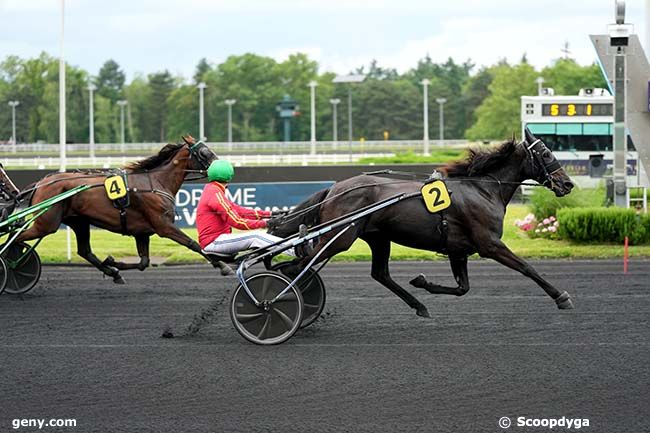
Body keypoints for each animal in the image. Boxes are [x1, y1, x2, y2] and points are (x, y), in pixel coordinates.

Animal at [13, 136, 232, 284]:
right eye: (204, 153)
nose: (226, 169)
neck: (155, 182)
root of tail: (40, 183)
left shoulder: (142, 231)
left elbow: (144, 262)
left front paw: (113, 263)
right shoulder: (163, 226)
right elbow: (193, 244)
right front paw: (222, 265)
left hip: (79, 221)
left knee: (84, 251)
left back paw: (113, 272)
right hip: (47, 223)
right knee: (16, 238)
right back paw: (13, 265)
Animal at [270, 129, 576, 318]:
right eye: (546, 154)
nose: (568, 184)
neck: (482, 188)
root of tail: (334, 189)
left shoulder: (458, 250)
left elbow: (463, 288)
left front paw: (422, 281)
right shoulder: (489, 244)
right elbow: (527, 267)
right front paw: (561, 296)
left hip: (377, 237)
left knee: (379, 274)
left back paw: (418, 305)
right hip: (340, 237)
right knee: (299, 264)